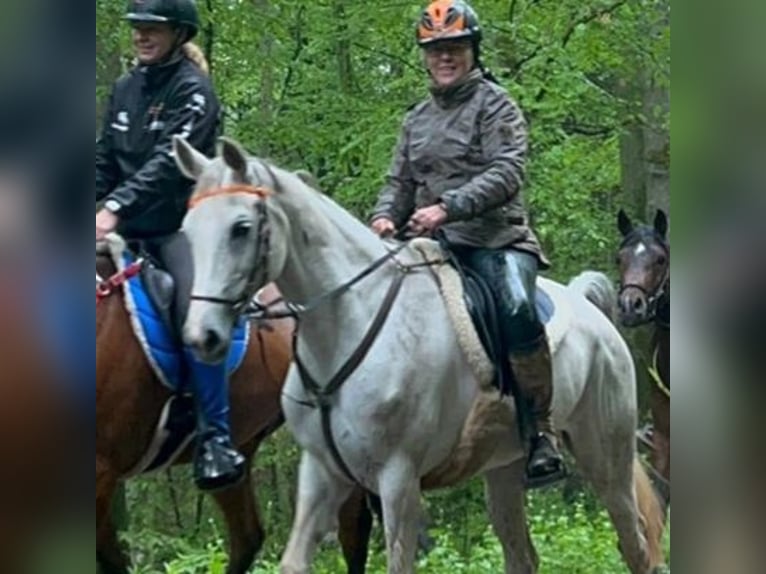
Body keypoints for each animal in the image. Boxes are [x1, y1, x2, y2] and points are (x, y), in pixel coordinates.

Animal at [174, 138, 664, 574]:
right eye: (188, 230)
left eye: (241, 227)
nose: (202, 336)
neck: (348, 323)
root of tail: (593, 314)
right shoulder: (322, 473)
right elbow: (294, 562)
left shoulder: (397, 479)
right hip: (504, 468)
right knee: (522, 556)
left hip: (606, 455)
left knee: (634, 545)